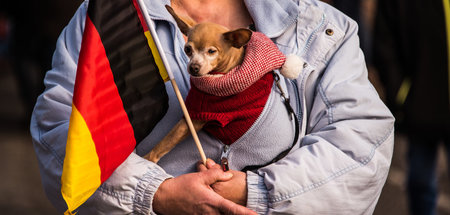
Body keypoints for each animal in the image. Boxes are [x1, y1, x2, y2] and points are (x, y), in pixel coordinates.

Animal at [144, 5, 251, 163]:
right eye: (187, 49)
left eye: (211, 51)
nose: (193, 67)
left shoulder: (195, 118)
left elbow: (165, 142)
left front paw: (147, 159)